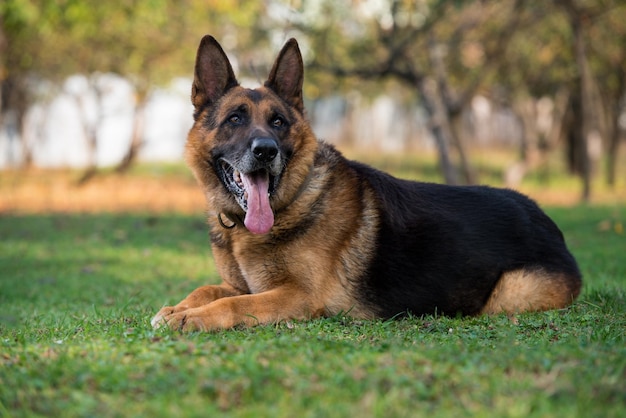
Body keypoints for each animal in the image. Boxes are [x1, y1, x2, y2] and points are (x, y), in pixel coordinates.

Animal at [151, 34, 580, 332]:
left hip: (509, 296)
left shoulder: (297, 297)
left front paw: (192, 318)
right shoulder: (245, 284)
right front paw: (176, 308)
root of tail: (546, 221)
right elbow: (207, 290)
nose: (266, 151)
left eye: (278, 122)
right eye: (235, 119)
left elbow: (233, 304)